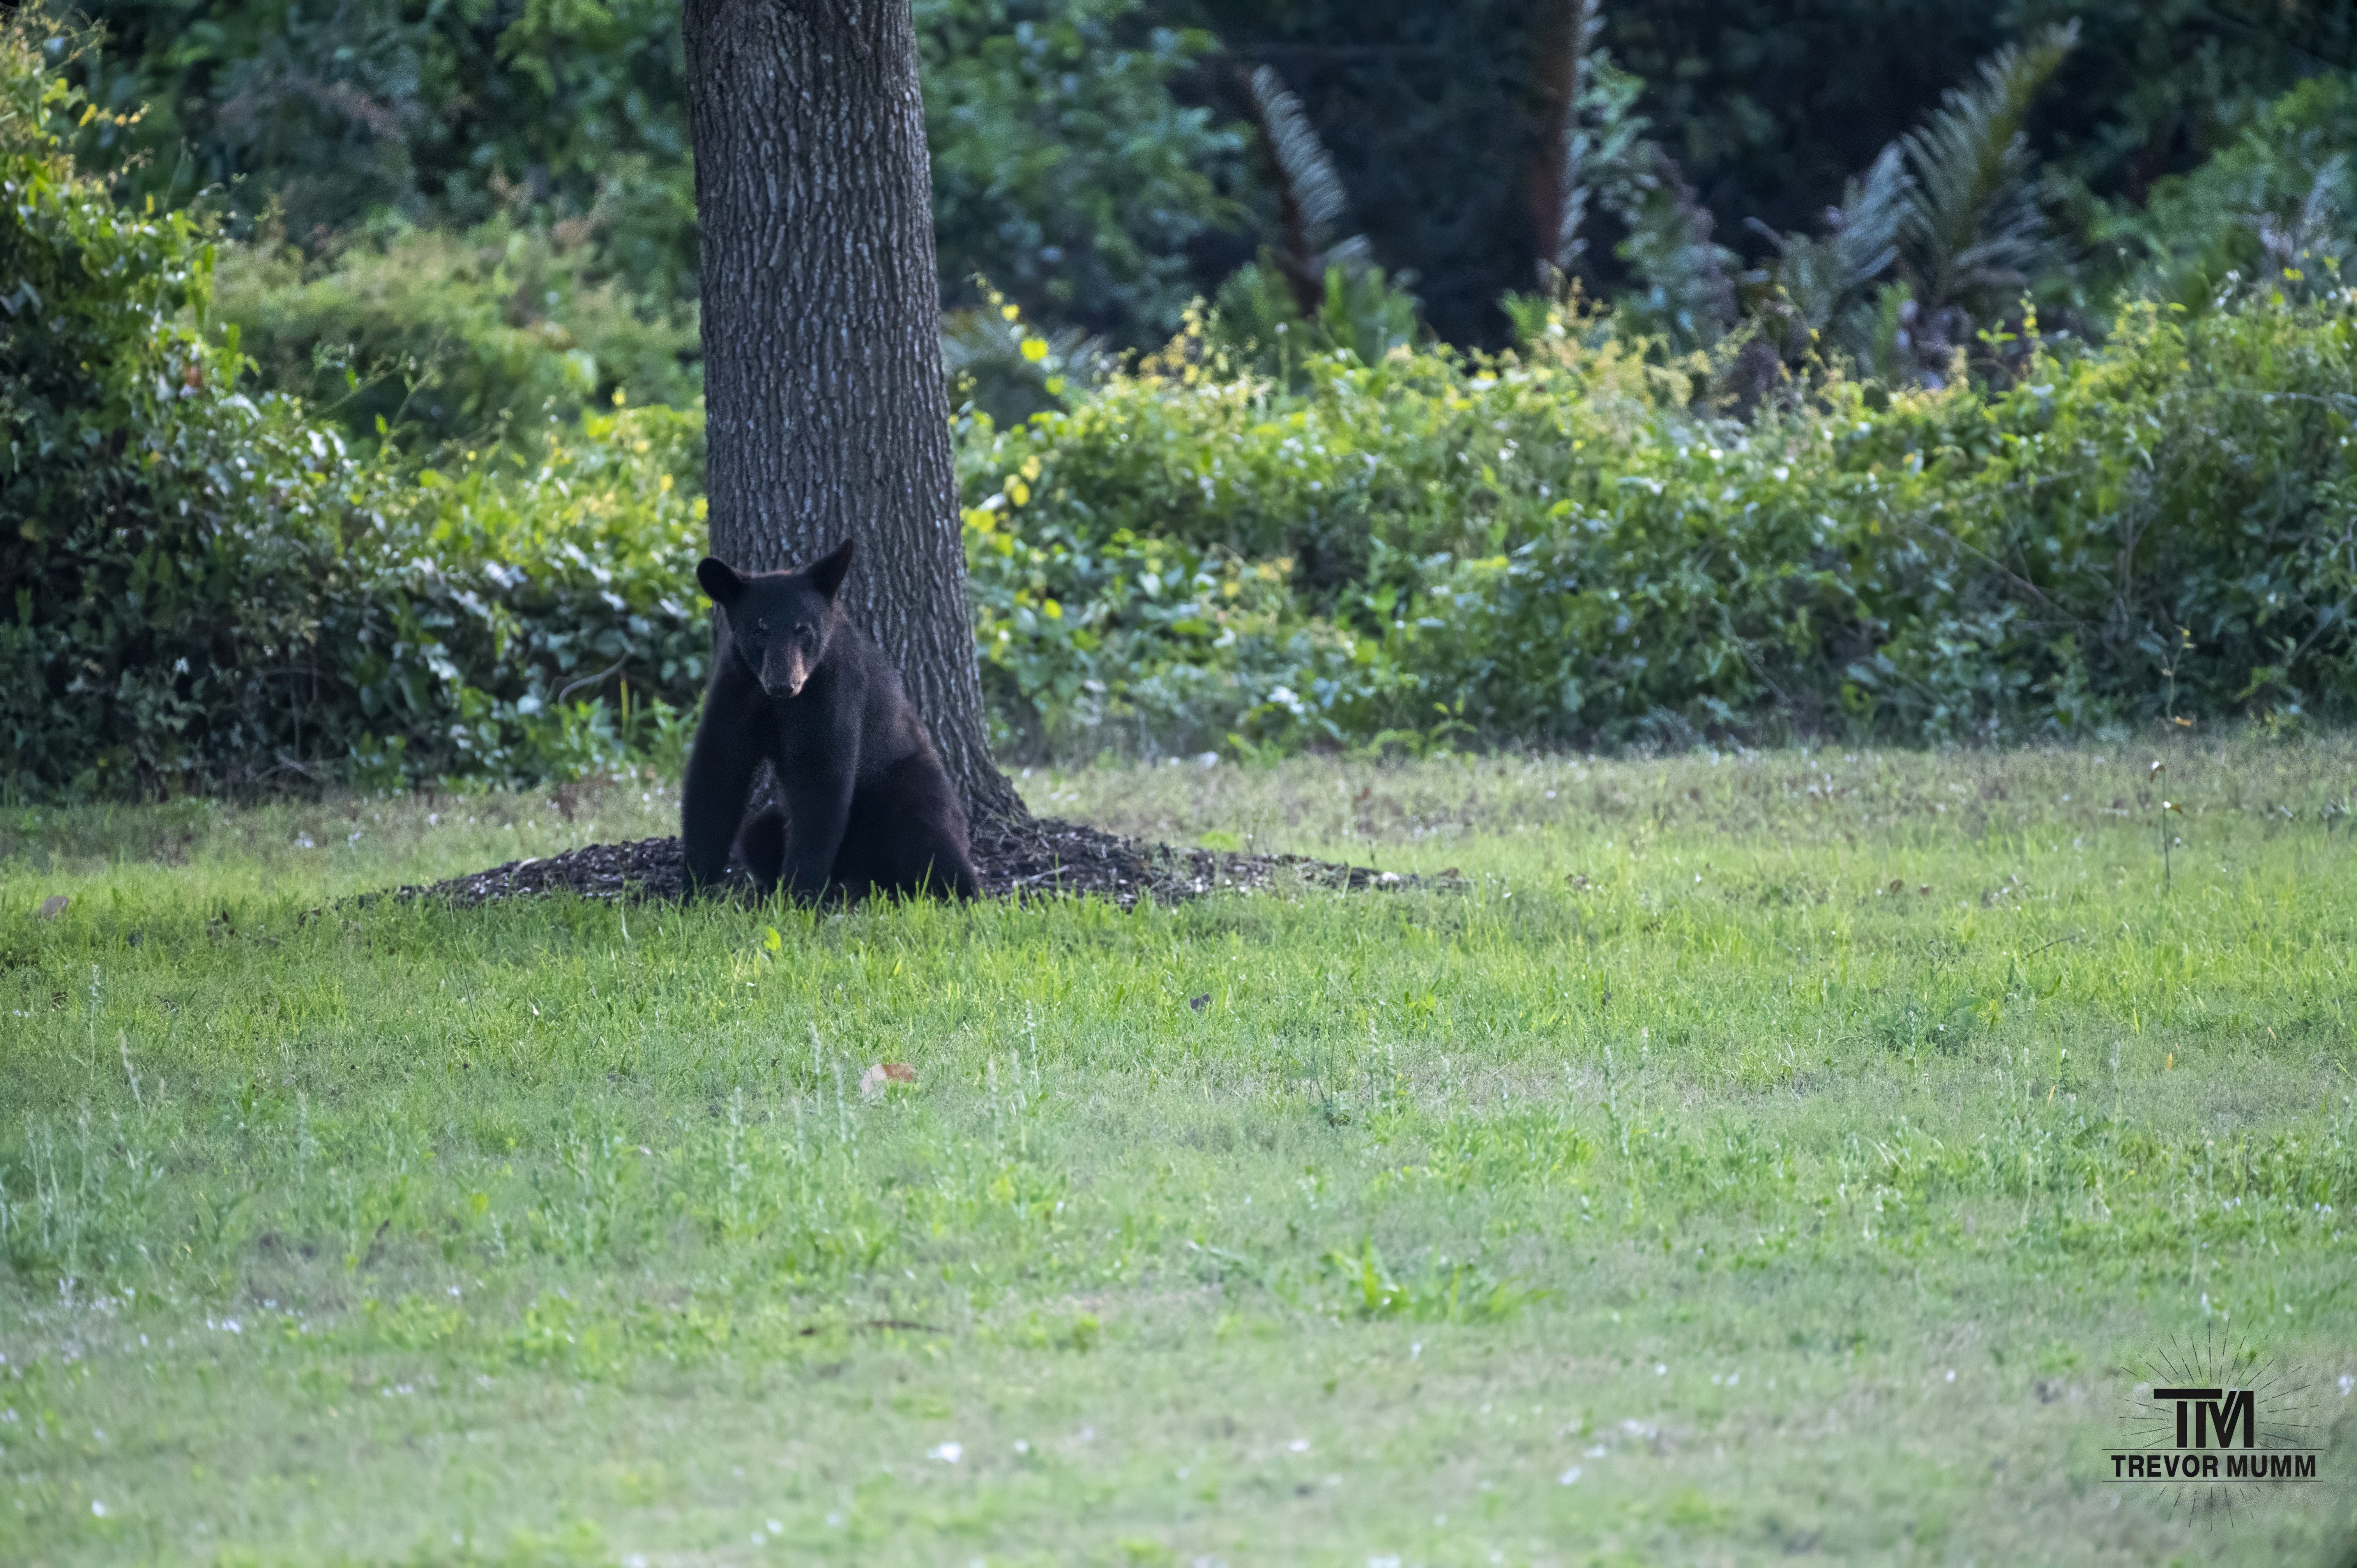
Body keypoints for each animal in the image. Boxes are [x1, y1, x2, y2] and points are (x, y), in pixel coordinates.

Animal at [682, 539, 981, 903]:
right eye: (759, 630)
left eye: (803, 629)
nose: (783, 684)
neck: (780, 704)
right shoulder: (738, 690)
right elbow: (718, 772)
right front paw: (694, 887)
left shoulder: (835, 694)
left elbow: (821, 783)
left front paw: (797, 895)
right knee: (755, 834)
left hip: (909, 783)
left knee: (932, 833)